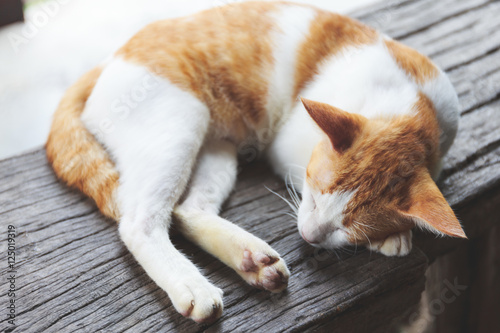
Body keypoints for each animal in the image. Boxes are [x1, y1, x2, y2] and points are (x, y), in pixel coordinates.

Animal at [45, 0, 466, 322]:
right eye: (315, 197)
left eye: (348, 228)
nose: (309, 236)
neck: (411, 106)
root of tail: (109, 59)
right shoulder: (288, 148)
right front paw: (393, 235)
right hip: (180, 125)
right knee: (139, 222)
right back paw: (191, 284)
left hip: (216, 149)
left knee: (187, 210)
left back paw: (249, 258)